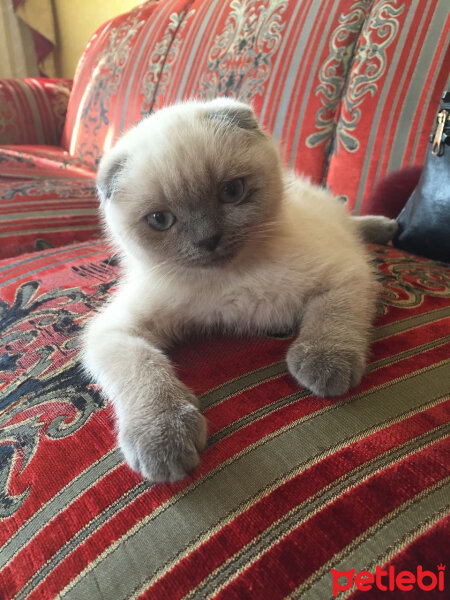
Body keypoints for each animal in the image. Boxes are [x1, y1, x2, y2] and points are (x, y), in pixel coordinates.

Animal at [81, 98, 398, 482]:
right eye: (160, 220)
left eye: (231, 192)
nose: (208, 240)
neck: (231, 278)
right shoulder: (115, 330)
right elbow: (143, 367)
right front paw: (163, 437)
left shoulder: (345, 272)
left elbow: (330, 318)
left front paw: (324, 365)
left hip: (338, 225)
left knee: (351, 220)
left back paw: (386, 226)